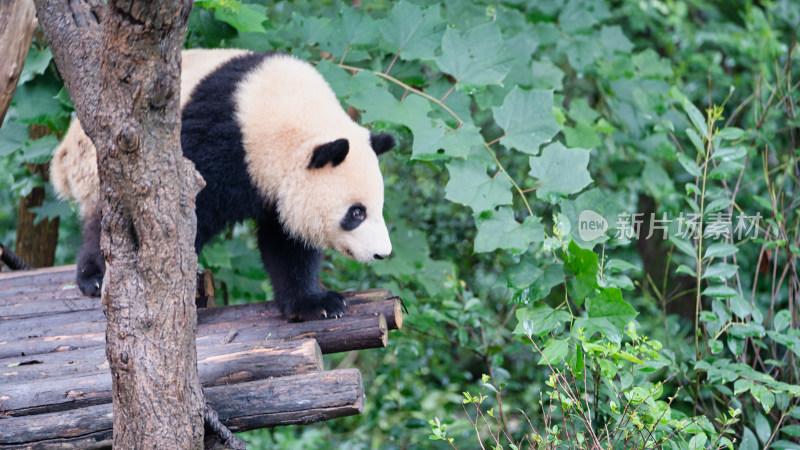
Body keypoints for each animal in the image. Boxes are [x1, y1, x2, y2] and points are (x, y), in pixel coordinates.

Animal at [51, 49, 396, 322]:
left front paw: (315, 303)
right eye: (356, 213)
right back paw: (95, 277)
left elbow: (287, 243)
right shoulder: (214, 142)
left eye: (378, 208)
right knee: (106, 222)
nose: (383, 253)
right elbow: (185, 215)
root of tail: (68, 143)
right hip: (103, 165)